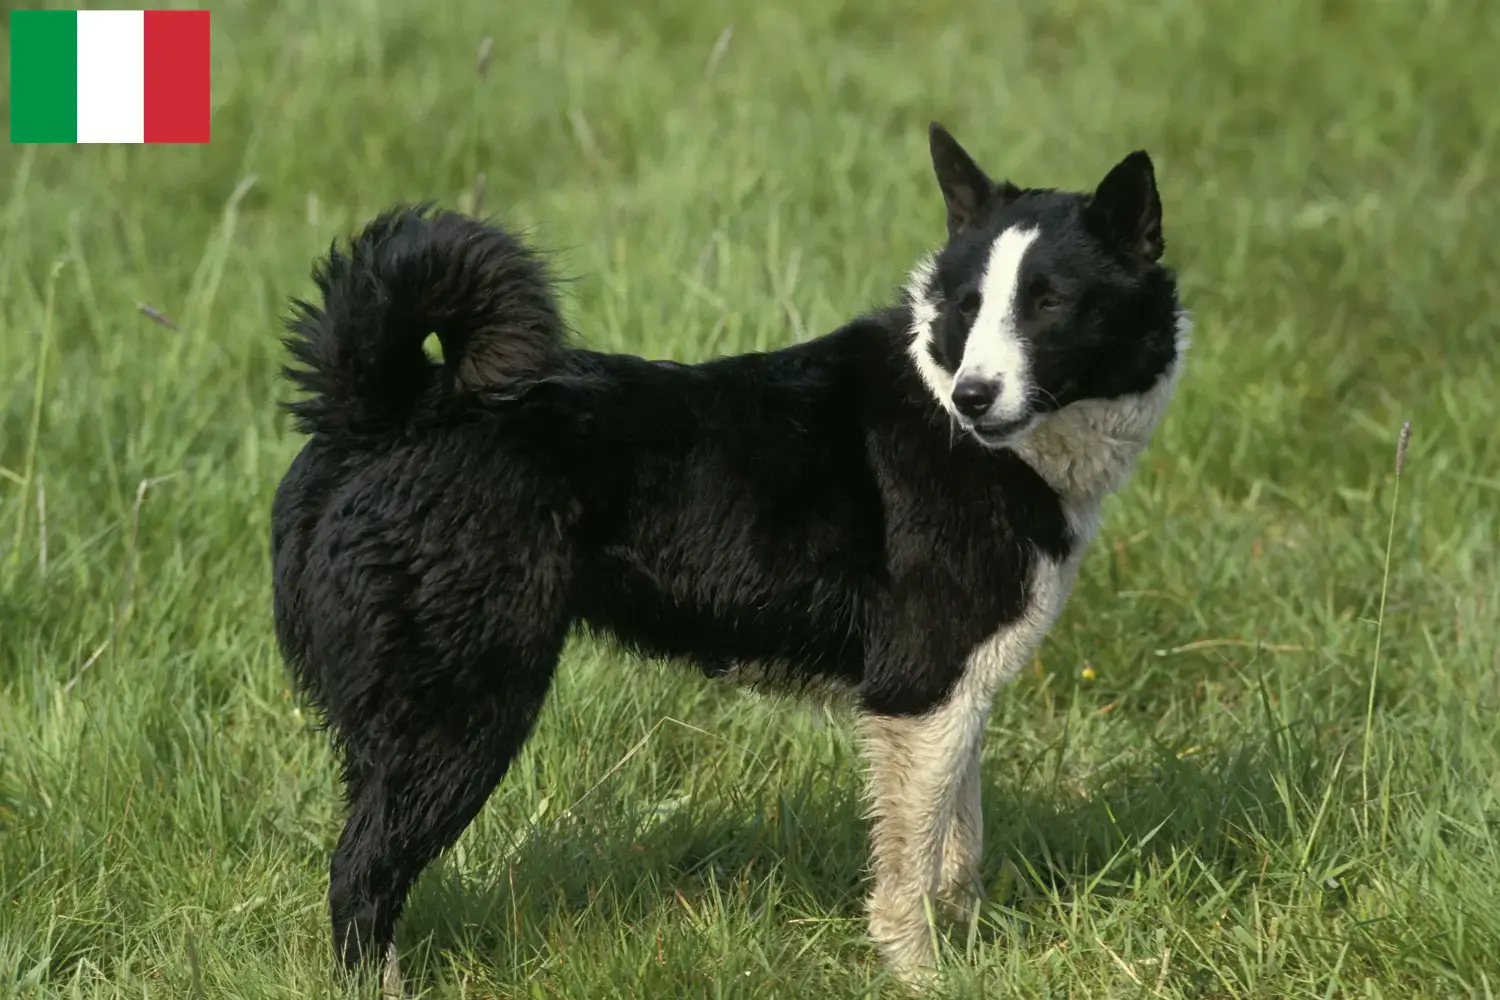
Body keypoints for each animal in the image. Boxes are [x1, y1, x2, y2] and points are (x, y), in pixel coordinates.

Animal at [267, 121, 1182, 983]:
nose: (974, 396)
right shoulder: (919, 689)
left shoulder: (957, 696)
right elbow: (912, 868)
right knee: (361, 874)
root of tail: (383, 410)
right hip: (461, 709)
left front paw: (970, 946)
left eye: (1048, 305)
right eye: (967, 306)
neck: (953, 405)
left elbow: (958, 846)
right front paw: (923, 975)